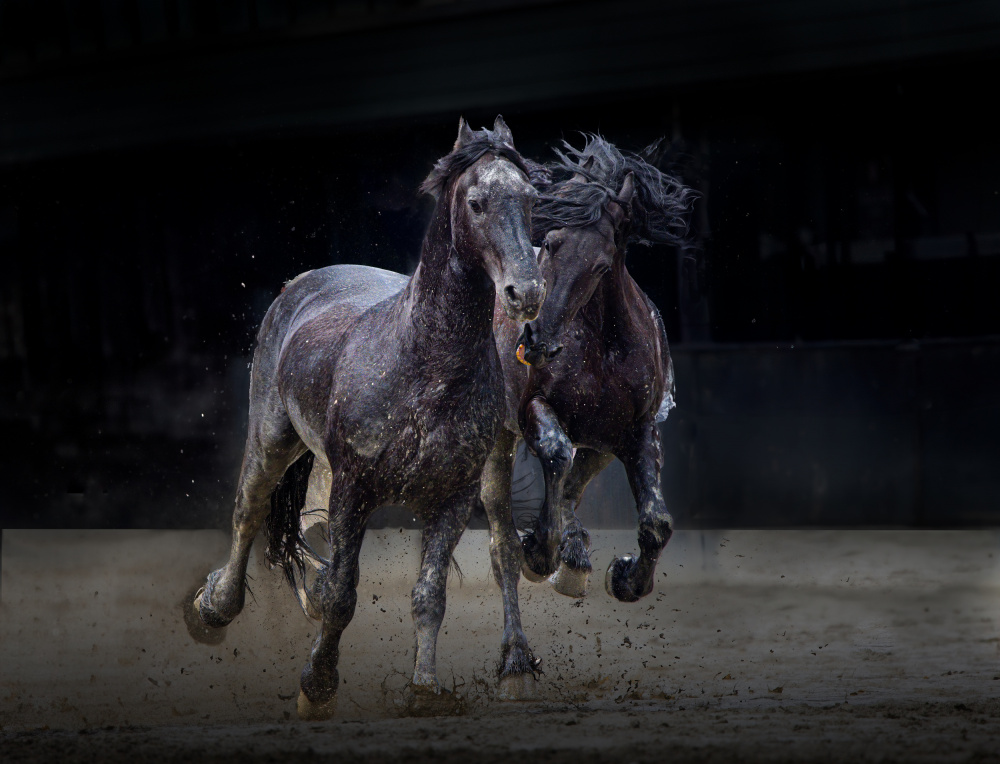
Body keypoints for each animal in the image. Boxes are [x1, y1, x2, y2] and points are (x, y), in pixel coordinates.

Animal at [191, 117, 544, 720]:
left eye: (530, 198)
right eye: (477, 202)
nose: (527, 291)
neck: (424, 366)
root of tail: (301, 284)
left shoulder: (451, 499)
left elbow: (429, 596)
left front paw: (423, 690)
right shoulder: (355, 490)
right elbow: (344, 595)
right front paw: (317, 687)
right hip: (272, 440)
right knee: (248, 511)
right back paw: (213, 609)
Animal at [482, 135, 695, 623]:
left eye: (601, 265)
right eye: (550, 243)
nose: (537, 341)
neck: (602, 351)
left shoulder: (637, 430)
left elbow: (656, 522)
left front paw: (626, 578)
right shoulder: (532, 408)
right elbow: (556, 454)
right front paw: (539, 553)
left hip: (601, 444)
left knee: (574, 486)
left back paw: (575, 560)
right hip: (499, 436)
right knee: (504, 502)